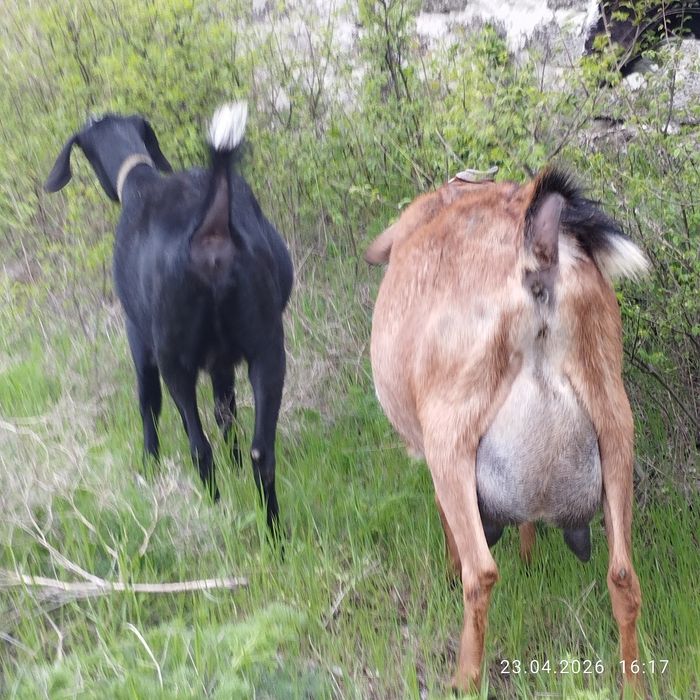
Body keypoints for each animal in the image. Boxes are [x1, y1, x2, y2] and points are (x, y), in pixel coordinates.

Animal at [45, 103, 293, 532]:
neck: (138, 181)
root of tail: (212, 229)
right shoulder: (222, 362)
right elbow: (226, 414)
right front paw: (234, 465)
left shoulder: (139, 340)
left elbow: (148, 402)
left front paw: (149, 463)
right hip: (268, 350)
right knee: (261, 450)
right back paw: (274, 533)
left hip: (175, 361)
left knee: (198, 447)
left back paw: (213, 509)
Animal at [365, 168, 647, 693]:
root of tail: (538, 252)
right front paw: (531, 560)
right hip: (615, 423)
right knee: (622, 575)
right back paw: (635, 686)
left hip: (452, 437)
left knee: (480, 574)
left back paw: (464, 679)